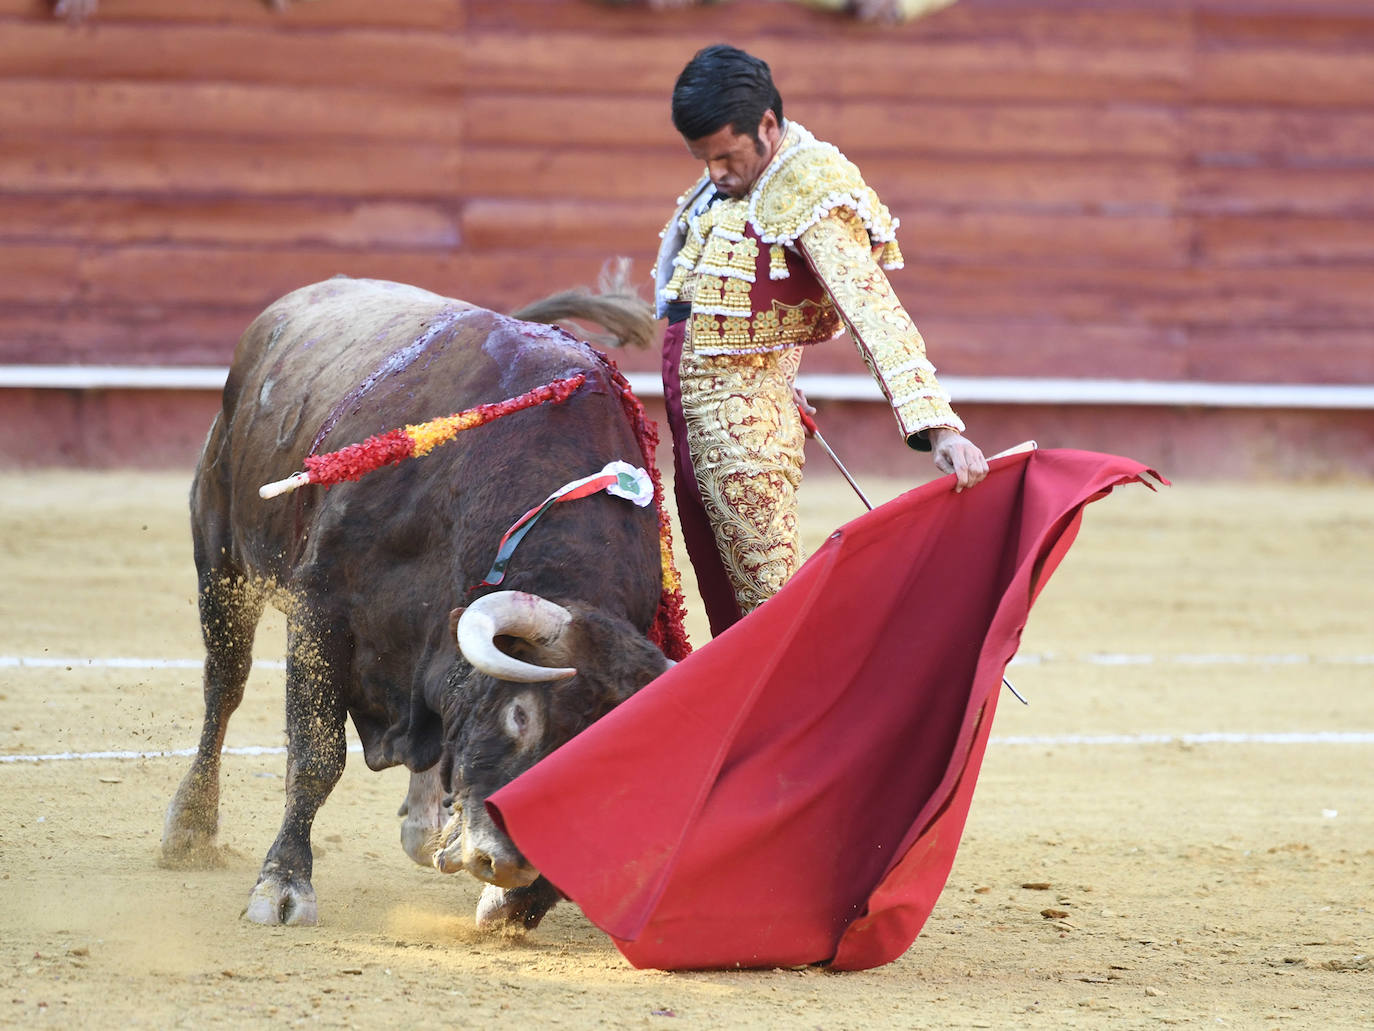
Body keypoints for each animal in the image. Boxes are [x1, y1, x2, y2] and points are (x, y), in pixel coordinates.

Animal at [160, 276, 676, 934]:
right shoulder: (321, 611)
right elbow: (316, 756)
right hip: (221, 558)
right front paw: (282, 885)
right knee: (224, 686)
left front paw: (513, 906)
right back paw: (189, 830)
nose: (508, 865)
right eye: (520, 717)